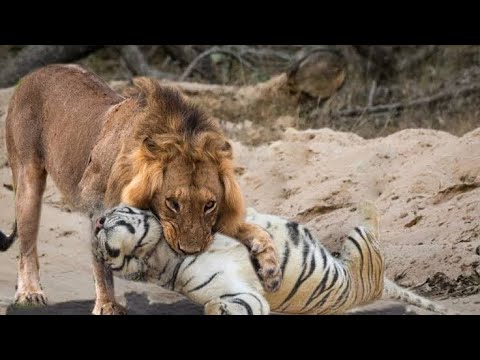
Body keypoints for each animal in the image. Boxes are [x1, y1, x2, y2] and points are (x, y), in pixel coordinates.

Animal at [0, 64, 282, 316]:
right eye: (172, 203)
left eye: (209, 205)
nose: (191, 251)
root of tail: (35, 73)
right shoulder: (98, 210)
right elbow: (101, 265)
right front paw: (107, 306)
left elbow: (257, 231)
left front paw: (271, 270)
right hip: (27, 181)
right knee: (26, 246)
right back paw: (29, 293)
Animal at [92, 202, 456, 316]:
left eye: (111, 212)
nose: (96, 222)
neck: (157, 251)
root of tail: (379, 287)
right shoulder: (242, 292)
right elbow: (232, 303)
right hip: (360, 241)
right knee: (371, 224)